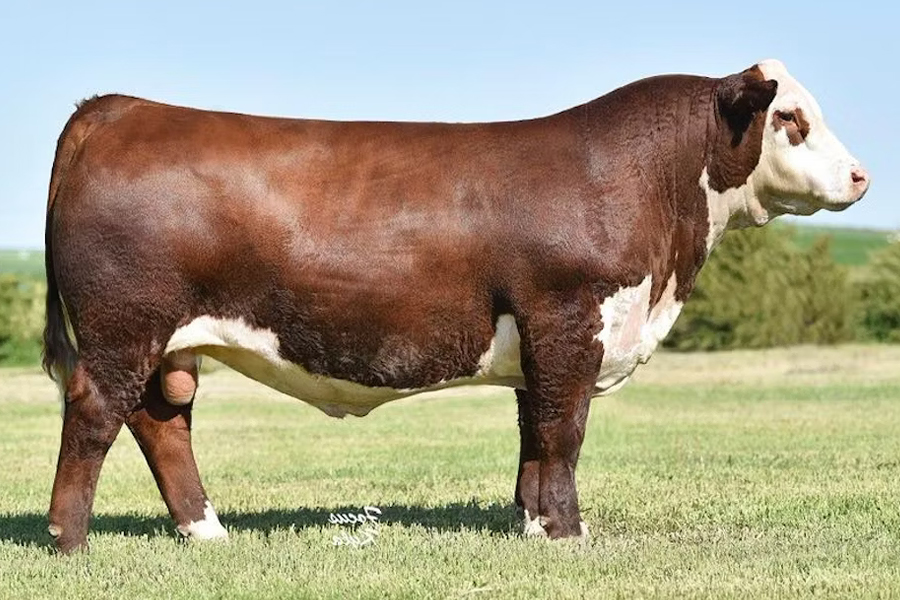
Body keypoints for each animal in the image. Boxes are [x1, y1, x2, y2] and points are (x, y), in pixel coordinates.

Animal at [42, 59, 868, 552]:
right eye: (791, 118)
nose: (861, 175)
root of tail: (119, 108)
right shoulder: (570, 322)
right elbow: (564, 432)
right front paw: (568, 532)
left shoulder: (541, 344)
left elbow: (535, 433)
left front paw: (531, 523)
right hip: (125, 326)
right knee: (96, 413)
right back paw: (70, 539)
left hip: (163, 342)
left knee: (161, 423)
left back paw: (206, 531)